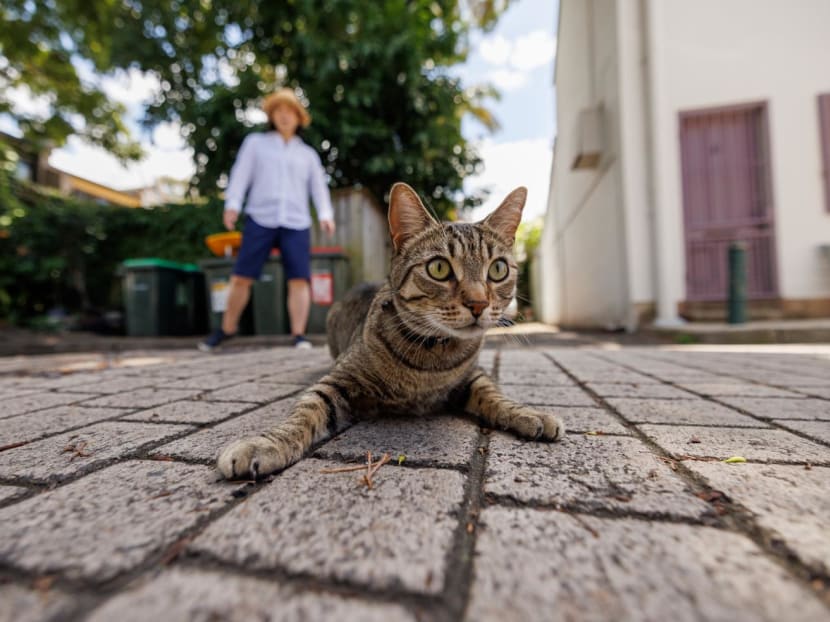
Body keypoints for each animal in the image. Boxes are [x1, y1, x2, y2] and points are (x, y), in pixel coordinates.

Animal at [216, 183, 564, 480]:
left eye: (498, 269)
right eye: (439, 268)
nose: (478, 304)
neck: (430, 357)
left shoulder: (472, 377)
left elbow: (495, 395)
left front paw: (530, 414)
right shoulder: (336, 381)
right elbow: (304, 412)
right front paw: (265, 444)